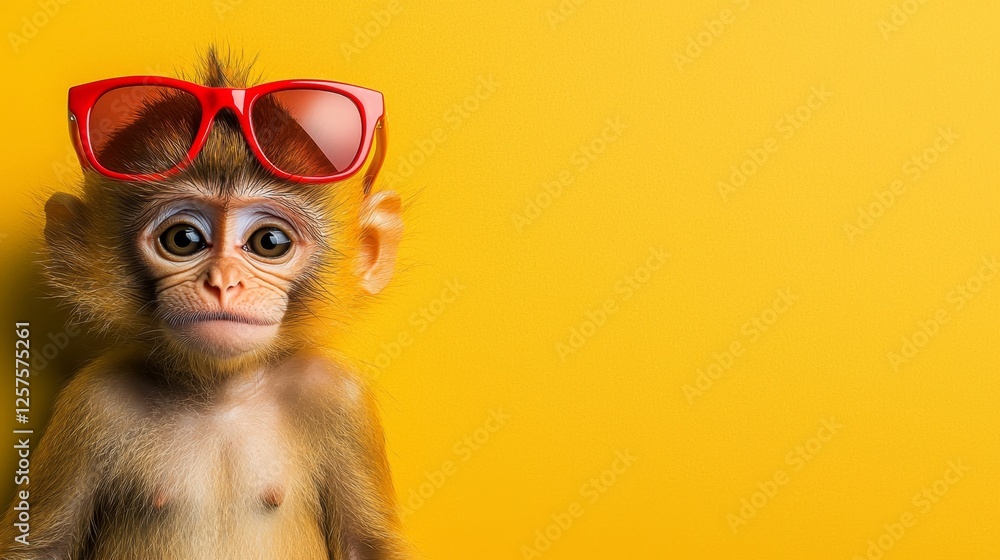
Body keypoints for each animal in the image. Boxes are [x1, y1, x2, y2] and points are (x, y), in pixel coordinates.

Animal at [0, 49, 408, 560]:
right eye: (184, 239)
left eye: (269, 242)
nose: (223, 283)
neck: (222, 395)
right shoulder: (92, 400)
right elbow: (40, 545)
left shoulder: (339, 396)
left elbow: (364, 544)